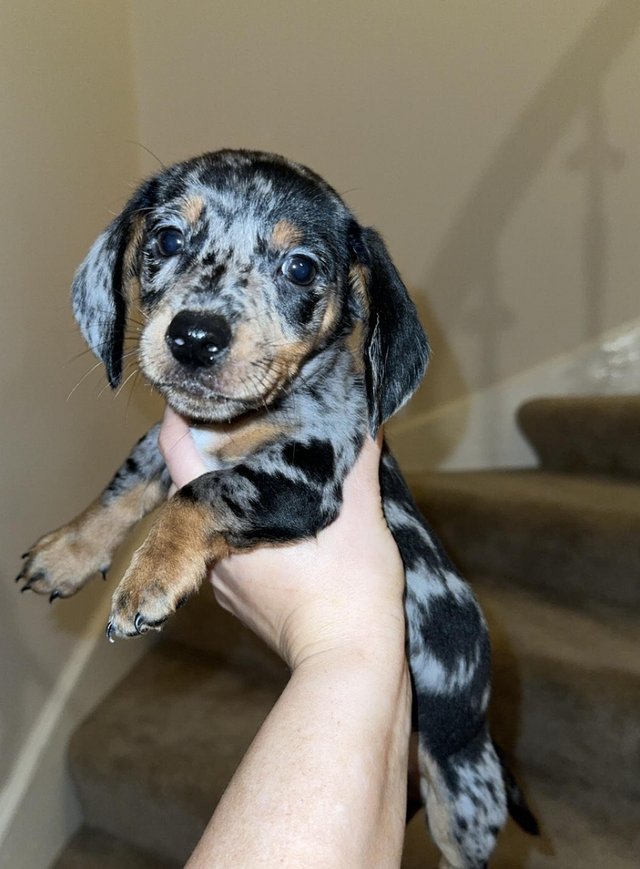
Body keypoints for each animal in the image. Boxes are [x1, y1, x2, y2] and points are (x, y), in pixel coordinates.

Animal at [17, 151, 532, 868]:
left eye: (301, 268)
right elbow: (124, 487)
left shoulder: (304, 474)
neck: (235, 424)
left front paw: (149, 577)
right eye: (167, 239)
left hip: (462, 794)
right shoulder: (164, 442)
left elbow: (199, 491)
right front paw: (69, 551)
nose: (194, 336)